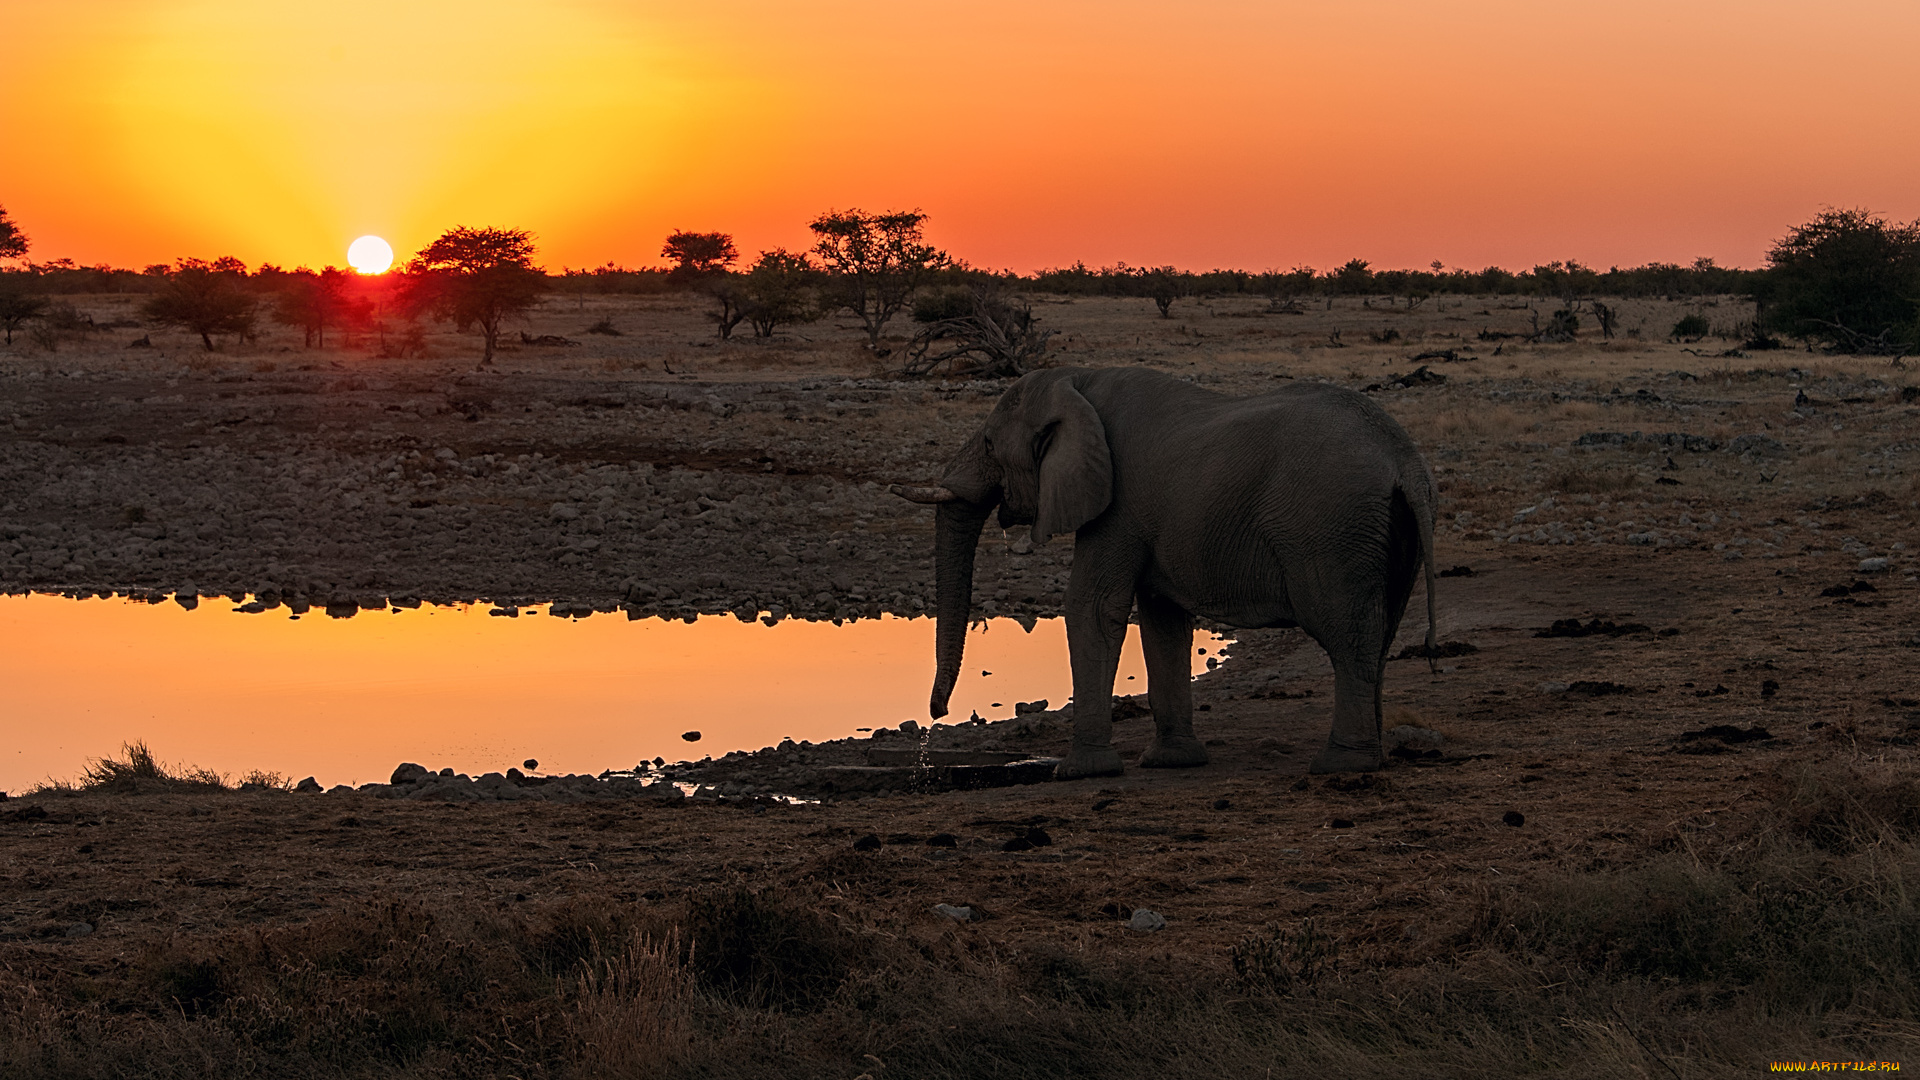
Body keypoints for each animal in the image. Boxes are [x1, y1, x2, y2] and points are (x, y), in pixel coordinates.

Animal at [890, 363, 1436, 772]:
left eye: (988, 445)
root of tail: (1403, 457)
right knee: (1380, 632)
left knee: (1348, 635)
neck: (1076, 380)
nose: (937, 714)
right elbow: (1163, 619)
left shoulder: (1117, 504)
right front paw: (1173, 761)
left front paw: (1081, 770)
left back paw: (1342, 764)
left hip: (1330, 527)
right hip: (1385, 529)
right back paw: (1377, 757)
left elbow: (1092, 606)